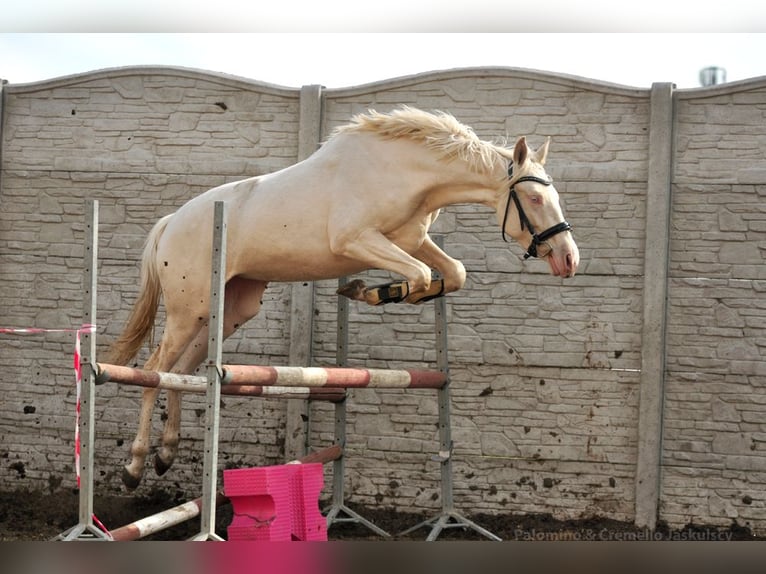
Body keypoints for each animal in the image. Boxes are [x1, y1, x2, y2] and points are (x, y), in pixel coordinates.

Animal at [109, 104, 584, 490]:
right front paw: (372, 291)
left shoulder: (411, 240)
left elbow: (452, 273)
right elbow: (418, 274)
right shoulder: (357, 240)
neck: (406, 172)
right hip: (189, 309)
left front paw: (385, 293)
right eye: (534, 198)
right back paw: (134, 468)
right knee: (154, 369)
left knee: (182, 373)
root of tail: (171, 221)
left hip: (226, 309)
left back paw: (167, 456)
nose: (569, 259)